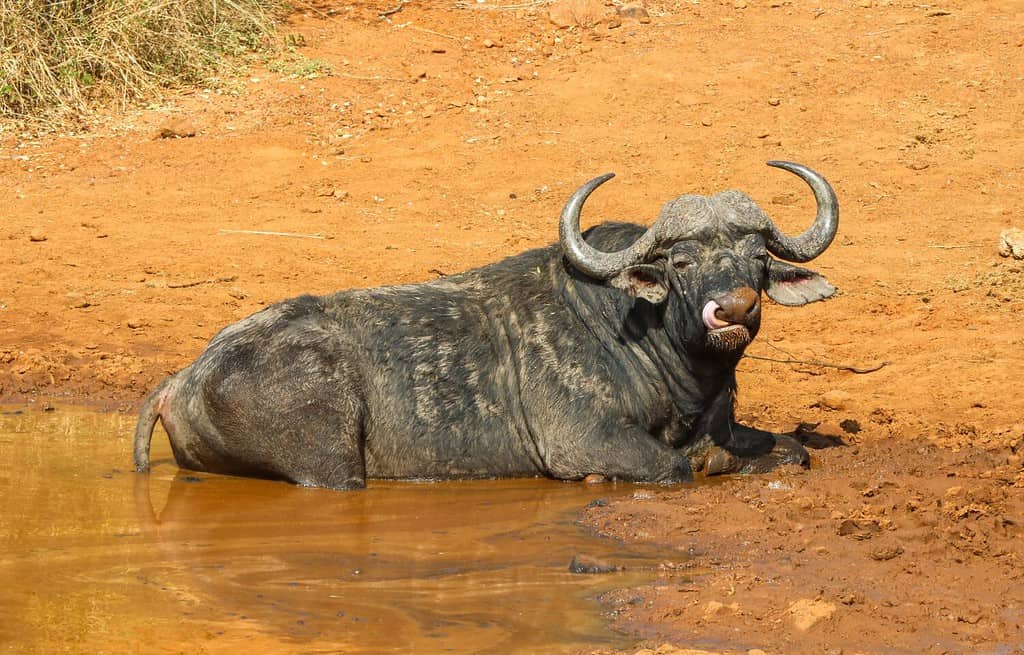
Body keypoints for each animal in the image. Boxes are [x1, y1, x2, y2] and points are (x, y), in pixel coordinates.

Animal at [134, 159, 839, 487]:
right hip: (331, 467)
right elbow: (675, 466)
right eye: (681, 260)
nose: (735, 308)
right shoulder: (582, 440)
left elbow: (792, 449)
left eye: (756, 256)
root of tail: (183, 379)